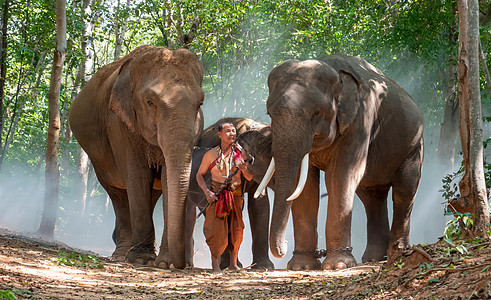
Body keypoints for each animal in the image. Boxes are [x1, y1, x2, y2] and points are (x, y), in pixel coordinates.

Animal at [68, 45, 205, 268]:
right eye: (150, 102)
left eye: (200, 103)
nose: (181, 264)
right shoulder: (118, 123)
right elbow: (137, 176)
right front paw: (142, 260)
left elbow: (167, 180)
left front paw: (164, 263)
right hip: (99, 160)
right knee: (118, 194)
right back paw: (121, 255)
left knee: (152, 194)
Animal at [256, 55, 424, 270]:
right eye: (269, 114)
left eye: (316, 113)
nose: (284, 245)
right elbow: (306, 186)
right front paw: (302, 267)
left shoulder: (360, 121)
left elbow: (340, 176)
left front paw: (338, 266)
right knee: (372, 198)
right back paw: (374, 258)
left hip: (413, 146)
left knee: (404, 191)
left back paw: (397, 252)